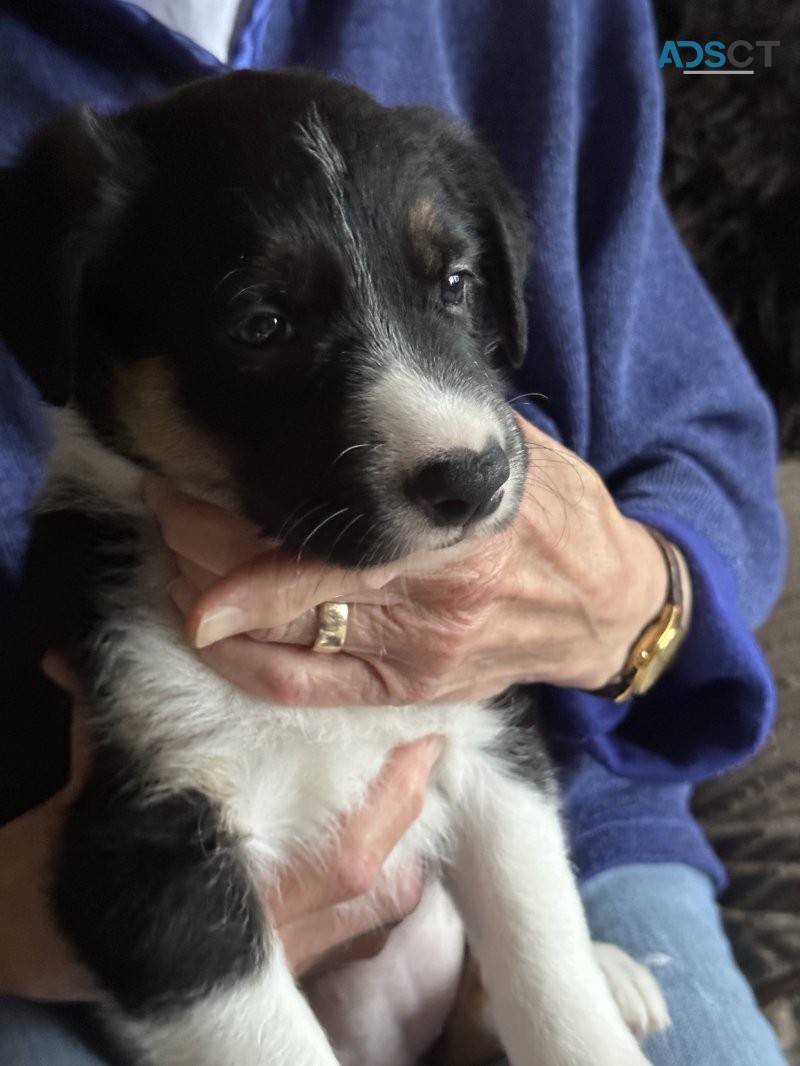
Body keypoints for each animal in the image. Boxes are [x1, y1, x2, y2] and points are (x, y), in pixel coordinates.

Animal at [1, 70, 669, 1061]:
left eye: (457, 283)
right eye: (261, 323)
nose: (473, 478)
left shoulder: (484, 739)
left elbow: (544, 957)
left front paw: (586, 1001)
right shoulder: (147, 854)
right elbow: (272, 1038)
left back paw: (615, 968)